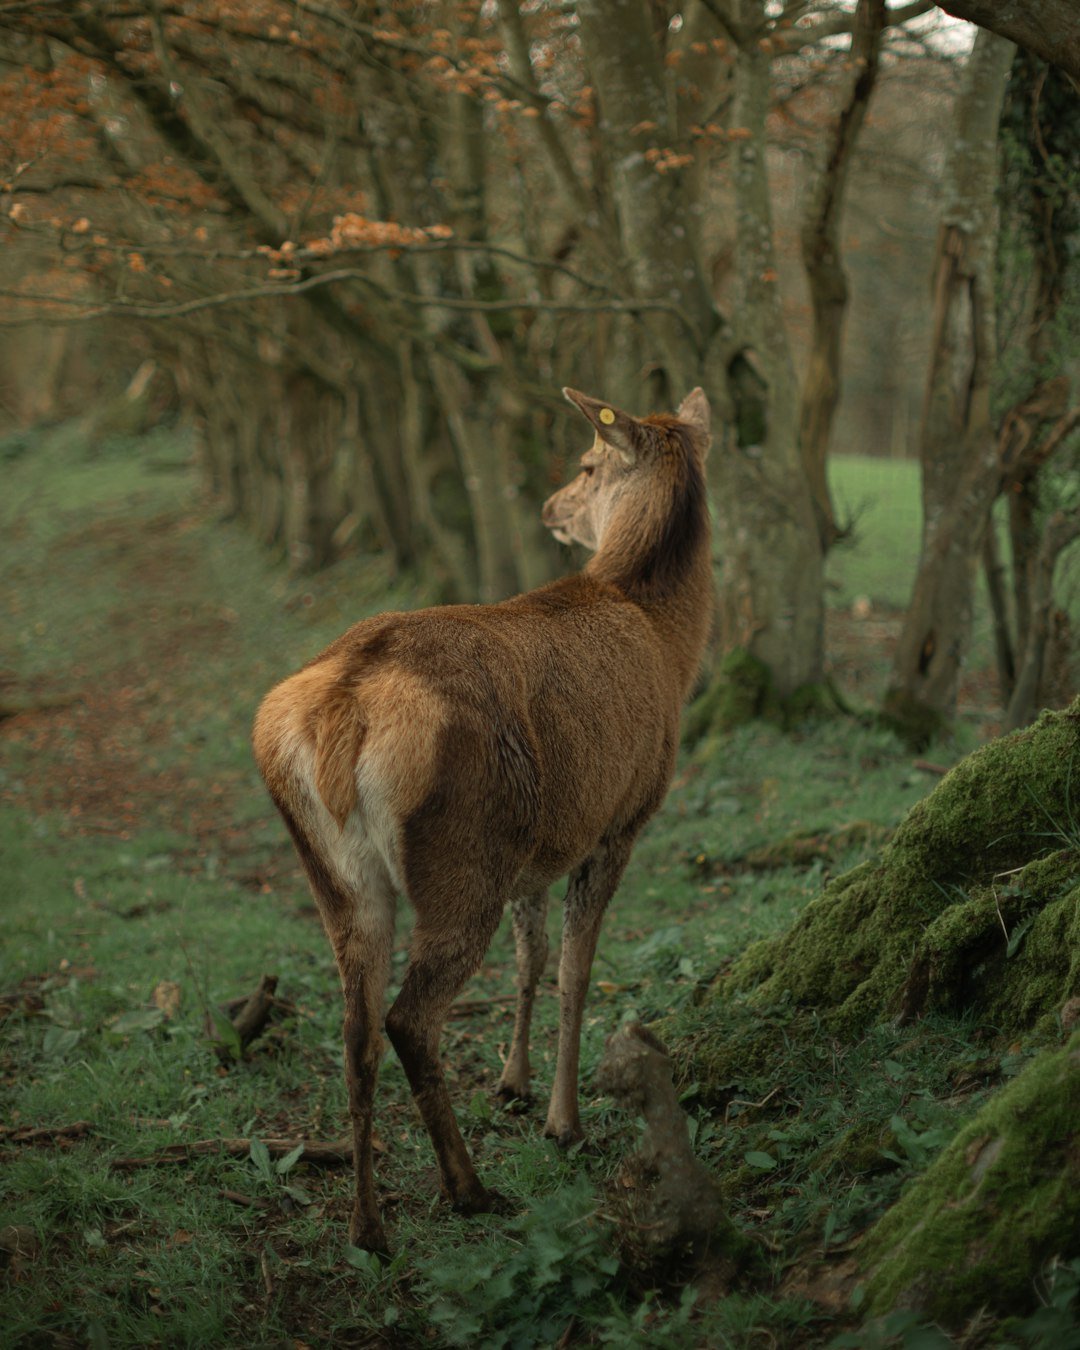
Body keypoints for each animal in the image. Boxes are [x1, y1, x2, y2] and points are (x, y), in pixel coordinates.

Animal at [252, 386, 713, 1251]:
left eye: (585, 466)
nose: (552, 506)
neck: (671, 644)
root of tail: (340, 714)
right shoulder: (622, 819)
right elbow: (575, 967)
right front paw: (564, 1120)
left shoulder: (539, 848)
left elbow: (531, 959)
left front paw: (513, 1082)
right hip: (463, 849)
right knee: (408, 1018)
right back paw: (467, 1188)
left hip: (340, 868)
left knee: (355, 1028)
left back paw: (368, 1224)